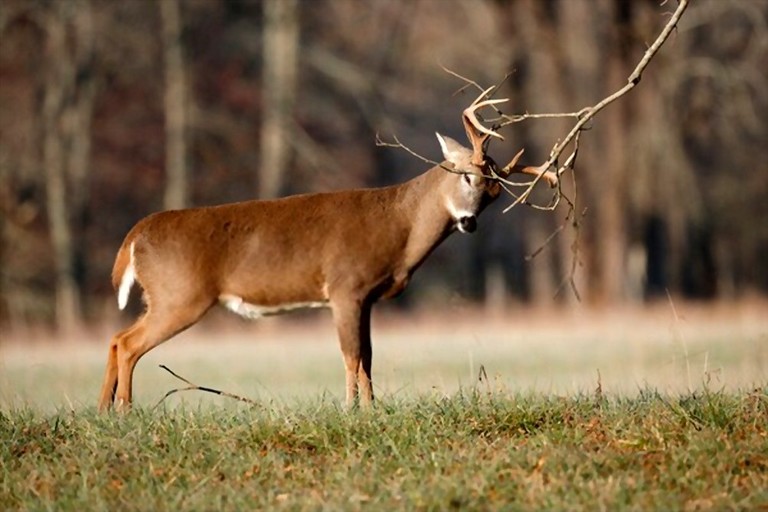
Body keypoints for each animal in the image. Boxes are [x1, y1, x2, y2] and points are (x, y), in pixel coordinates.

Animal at [98, 91, 558, 412]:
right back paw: (124, 411)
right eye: (465, 176)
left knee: (117, 338)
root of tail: (134, 236)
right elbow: (351, 356)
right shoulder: (344, 287)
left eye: (495, 194)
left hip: (163, 297)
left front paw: (372, 410)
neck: (399, 226)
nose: (469, 221)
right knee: (130, 343)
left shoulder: (366, 297)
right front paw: (351, 409)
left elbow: (368, 356)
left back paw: (105, 411)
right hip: (181, 294)